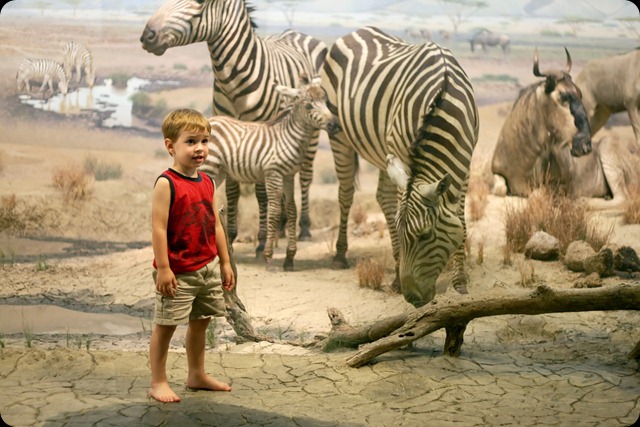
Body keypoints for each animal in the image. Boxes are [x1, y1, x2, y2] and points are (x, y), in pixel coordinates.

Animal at [140, 0, 328, 255]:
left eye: (200, 3)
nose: (147, 36)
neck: (233, 80)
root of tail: (296, 32)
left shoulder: (260, 133)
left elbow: (260, 192)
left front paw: (261, 241)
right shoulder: (227, 135)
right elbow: (232, 189)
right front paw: (231, 234)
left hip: (312, 133)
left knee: (306, 175)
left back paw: (303, 228)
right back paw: (279, 228)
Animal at [199, 76, 337, 271]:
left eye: (326, 101)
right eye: (309, 106)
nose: (335, 125)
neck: (288, 137)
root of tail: (209, 121)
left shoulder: (288, 176)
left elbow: (292, 209)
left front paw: (290, 258)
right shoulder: (273, 173)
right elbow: (274, 212)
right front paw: (269, 258)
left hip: (218, 172)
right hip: (209, 167)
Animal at [321, 26, 479, 307]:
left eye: (426, 235)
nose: (413, 298)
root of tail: (356, 31)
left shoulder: (465, 163)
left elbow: (460, 219)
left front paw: (460, 282)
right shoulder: (404, 155)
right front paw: (398, 275)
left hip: (384, 151)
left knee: (383, 197)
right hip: (339, 134)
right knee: (346, 193)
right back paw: (341, 256)